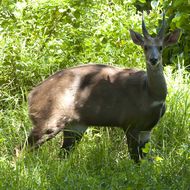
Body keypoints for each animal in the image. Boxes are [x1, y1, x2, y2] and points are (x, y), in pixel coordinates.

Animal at [25, 15, 180, 163]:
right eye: (145, 47)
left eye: (161, 47)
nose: (153, 60)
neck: (150, 94)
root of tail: (31, 95)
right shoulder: (130, 124)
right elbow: (136, 160)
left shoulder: (146, 129)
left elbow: (146, 161)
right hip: (49, 120)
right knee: (24, 149)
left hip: (75, 126)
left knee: (61, 155)